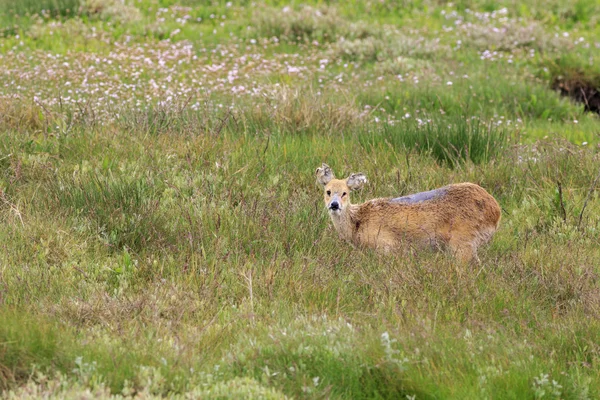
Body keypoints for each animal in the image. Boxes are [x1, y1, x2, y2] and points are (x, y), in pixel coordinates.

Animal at [316, 162, 500, 262]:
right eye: (328, 191)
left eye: (345, 193)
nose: (334, 205)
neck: (358, 222)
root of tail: (496, 211)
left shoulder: (386, 246)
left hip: (463, 240)